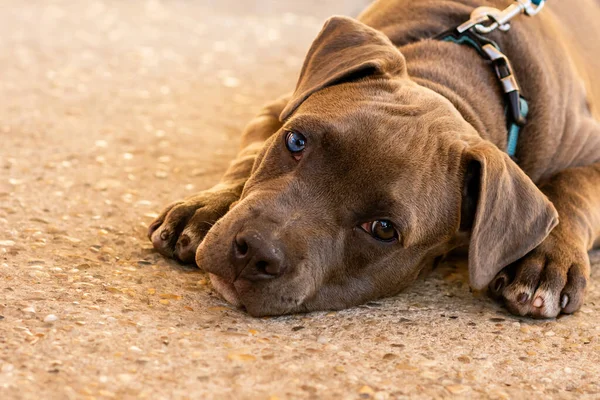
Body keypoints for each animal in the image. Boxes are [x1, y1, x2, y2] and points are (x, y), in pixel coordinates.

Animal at [146, 0, 600, 318]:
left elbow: (572, 189)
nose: (254, 250)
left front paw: (546, 264)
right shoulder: (277, 108)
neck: (457, 77)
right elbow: (249, 158)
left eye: (383, 229)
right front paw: (204, 209)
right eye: (295, 141)